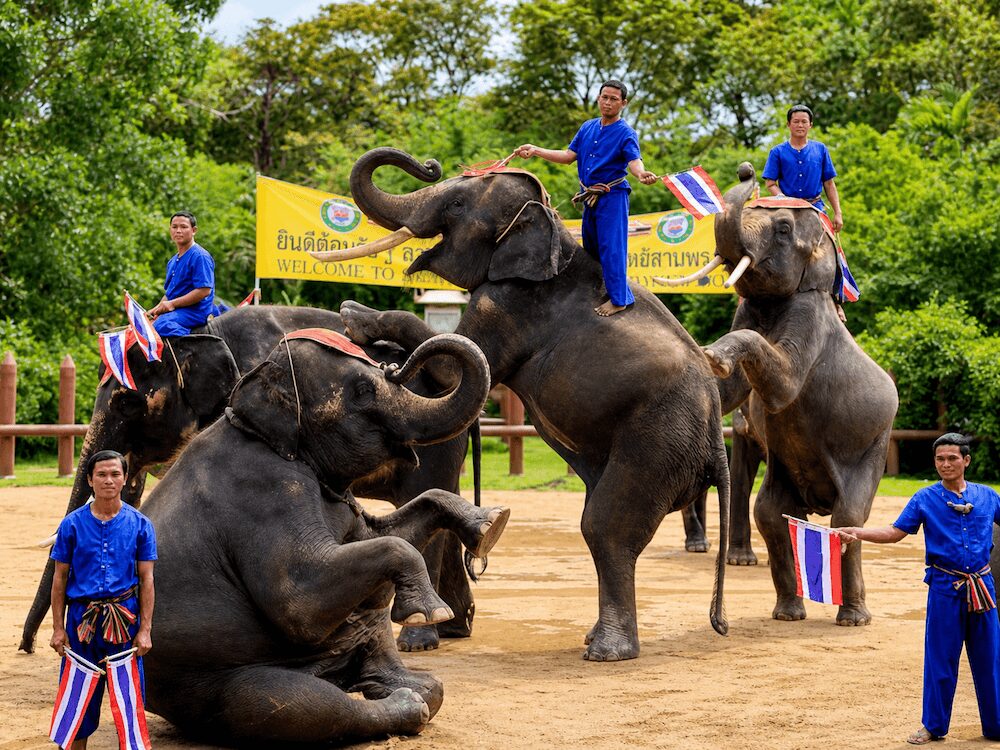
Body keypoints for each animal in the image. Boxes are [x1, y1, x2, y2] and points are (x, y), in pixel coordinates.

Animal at [19, 305, 476, 655]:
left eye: (128, 403)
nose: (27, 646)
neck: (199, 334)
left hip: (438, 447)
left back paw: (419, 640)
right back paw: (455, 625)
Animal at [141, 329, 509, 745]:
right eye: (363, 390)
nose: (394, 364)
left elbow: (386, 532)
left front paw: (492, 524)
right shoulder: (265, 493)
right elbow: (299, 602)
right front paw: (428, 611)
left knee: (426, 681)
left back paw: (394, 685)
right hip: (204, 687)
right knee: (287, 704)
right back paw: (403, 702)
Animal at [310, 147, 732, 661]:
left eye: (456, 205)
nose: (428, 164)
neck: (549, 226)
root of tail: (716, 445)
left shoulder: (508, 305)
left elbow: (456, 367)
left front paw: (354, 317)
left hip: (660, 439)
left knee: (606, 527)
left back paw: (605, 651)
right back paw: (593, 638)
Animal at [697, 163, 898, 625]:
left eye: (784, 229)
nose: (746, 169)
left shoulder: (811, 315)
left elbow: (784, 386)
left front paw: (714, 356)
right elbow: (732, 392)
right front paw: (704, 361)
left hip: (875, 441)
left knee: (848, 517)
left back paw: (853, 619)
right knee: (770, 513)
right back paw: (788, 614)